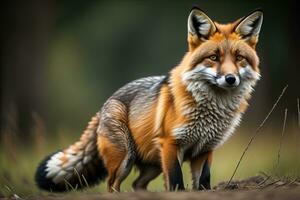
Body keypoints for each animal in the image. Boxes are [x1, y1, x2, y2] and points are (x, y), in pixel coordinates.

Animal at [36, 7, 264, 192]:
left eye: (239, 58)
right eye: (214, 58)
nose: (230, 79)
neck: (211, 111)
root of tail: (106, 103)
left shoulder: (206, 149)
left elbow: (203, 182)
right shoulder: (171, 144)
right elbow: (177, 182)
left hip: (153, 165)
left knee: (137, 185)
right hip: (125, 159)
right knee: (112, 185)